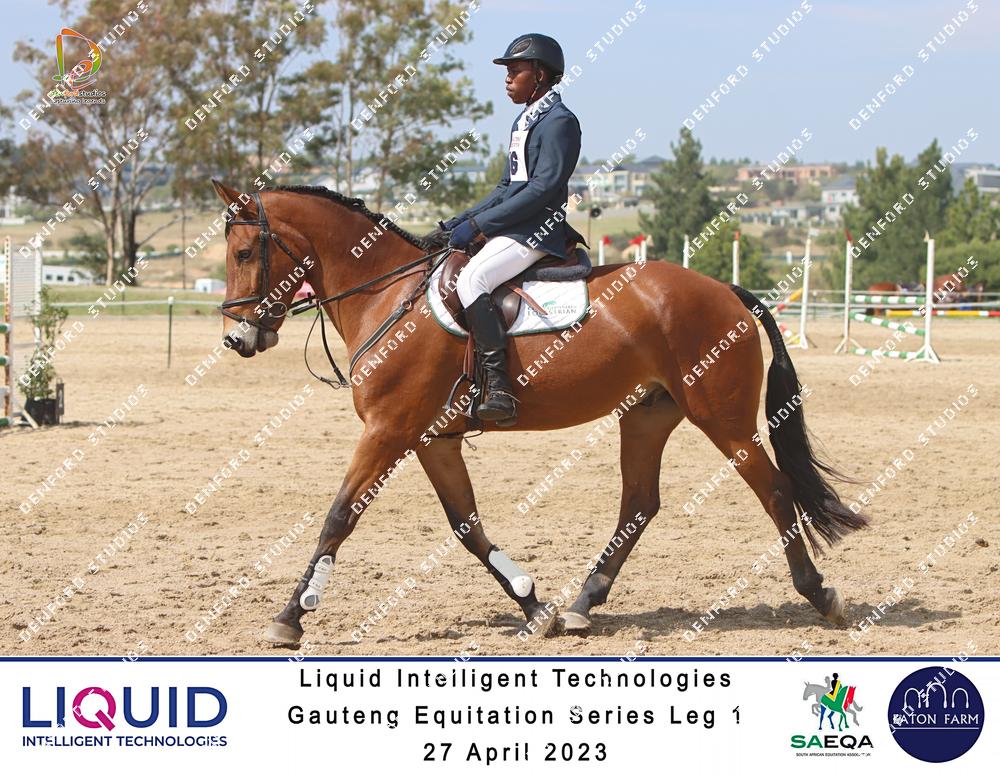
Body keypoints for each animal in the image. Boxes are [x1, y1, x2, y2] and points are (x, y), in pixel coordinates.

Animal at [210, 181, 868, 647]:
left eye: (243, 251)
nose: (237, 339)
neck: (385, 294)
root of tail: (725, 290)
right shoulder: (431, 440)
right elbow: (467, 527)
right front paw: (534, 606)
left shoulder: (388, 432)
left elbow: (337, 518)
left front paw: (289, 617)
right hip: (647, 415)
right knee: (640, 503)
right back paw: (581, 605)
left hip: (722, 419)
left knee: (774, 491)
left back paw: (820, 595)